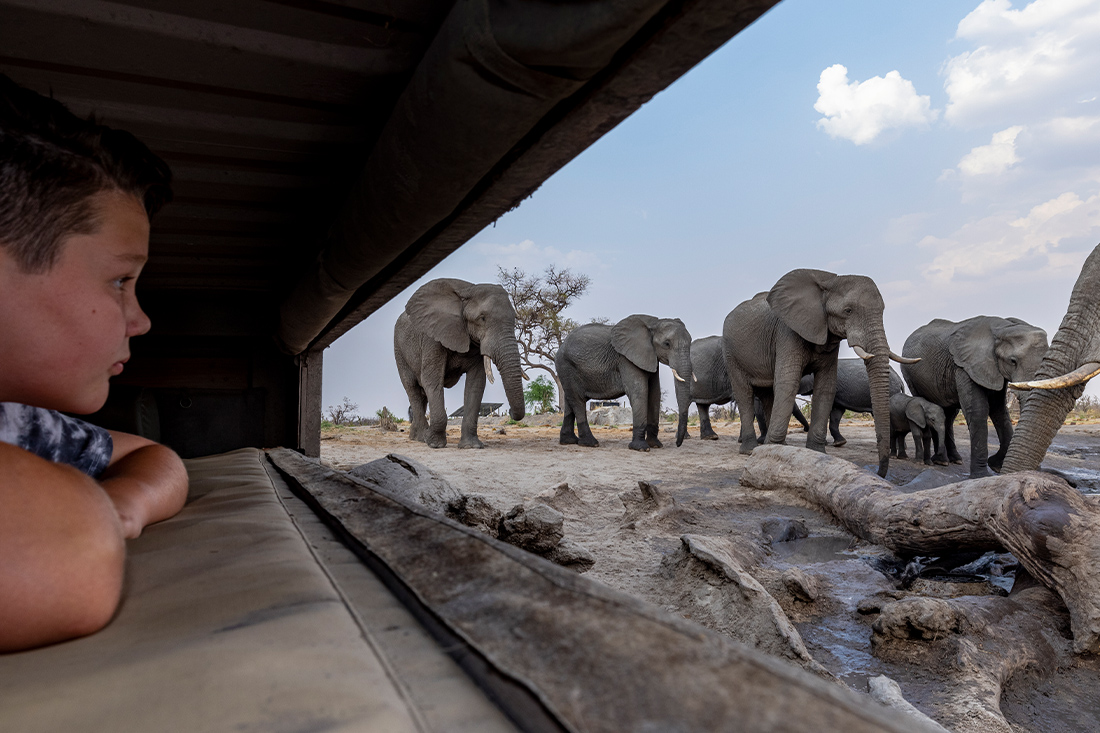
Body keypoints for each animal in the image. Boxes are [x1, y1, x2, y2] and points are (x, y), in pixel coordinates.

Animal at [394, 278, 525, 449]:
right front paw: (435, 444)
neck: (468, 290)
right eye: (482, 318)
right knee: (413, 389)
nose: (509, 412)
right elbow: (432, 380)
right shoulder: (432, 337)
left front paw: (471, 446)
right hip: (399, 351)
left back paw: (415, 436)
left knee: (422, 395)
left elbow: (476, 384)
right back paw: (421, 438)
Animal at [558, 314, 692, 451]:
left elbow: (655, 394)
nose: (677, 444)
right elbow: (639, 392)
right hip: (566, 366)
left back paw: (569, 441)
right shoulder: (626, 359)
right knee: (578, 400)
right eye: (667, 344)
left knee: (569, 400)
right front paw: (641, 448)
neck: (653, 323)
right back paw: (590, 443)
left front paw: (655, 445)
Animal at [723, 269, 916, 477]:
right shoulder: (787, 332)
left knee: (767, 395)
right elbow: (788, 382)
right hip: (731, 353)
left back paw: (775, 447)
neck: (829, 280)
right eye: (848, 311)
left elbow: (826, 387)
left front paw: (816, 453)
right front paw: (771, 453)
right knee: (744, 393)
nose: (879, 472)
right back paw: (751, 450)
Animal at [901, 316, 1048, 478]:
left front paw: (997, 466)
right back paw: (941, 461)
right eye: (1012, 361)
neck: (1003, 328)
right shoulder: (966, 366)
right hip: (911, 375)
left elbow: (999, 410)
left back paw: (954, 459)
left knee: (949, 415)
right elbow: (978, 411)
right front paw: (982, 475)